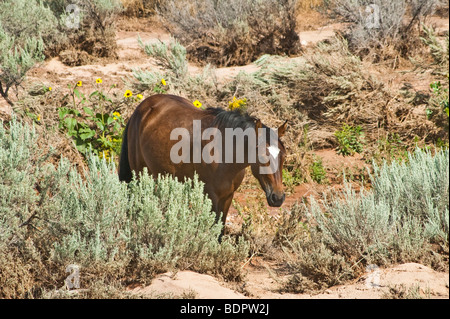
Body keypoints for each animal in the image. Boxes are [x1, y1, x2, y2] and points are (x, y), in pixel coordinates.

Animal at [118, 95, 288, 228]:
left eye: (283, 156)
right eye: (262, 156)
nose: (278, 198)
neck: (224, 152)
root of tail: (142, 108)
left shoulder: (228, 196)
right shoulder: (211, 196)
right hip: (139, 175)